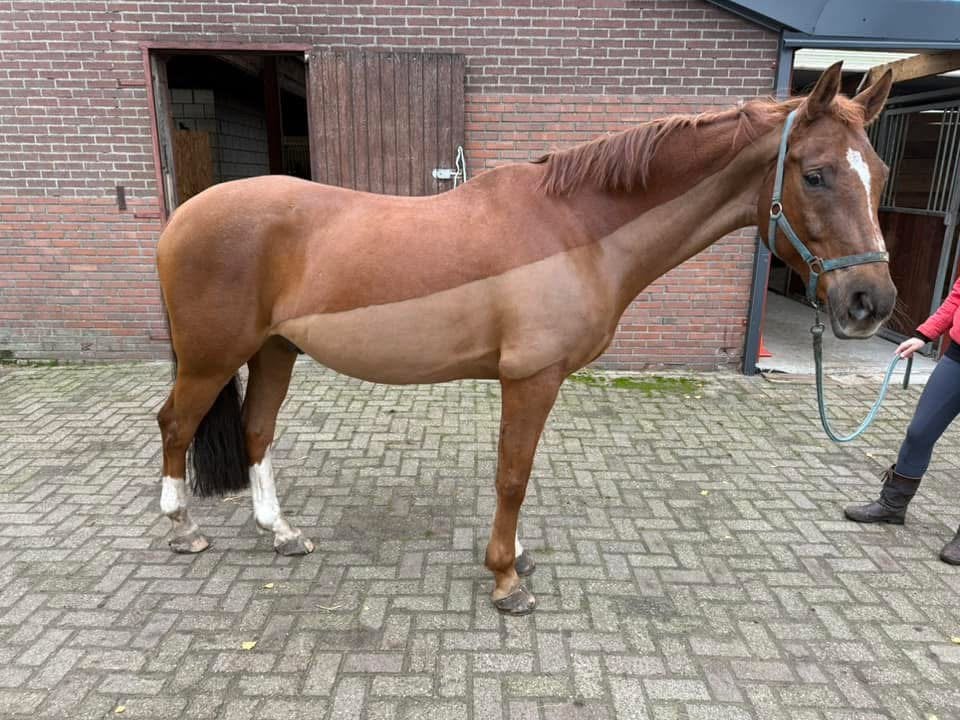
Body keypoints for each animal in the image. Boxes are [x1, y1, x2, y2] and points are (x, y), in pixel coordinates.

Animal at [156, 62, 895, 615]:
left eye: (880, 175)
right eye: (815, 174)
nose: (873, 303)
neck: (575, 229)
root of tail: (182, 217)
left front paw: (517, 561)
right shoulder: (530, 378)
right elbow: (513, 477)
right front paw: (506, 580)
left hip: (273, 351)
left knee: (256, 430)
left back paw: (281, 534)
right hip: (211, 359)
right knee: (175, 426)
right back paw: (183, 531)